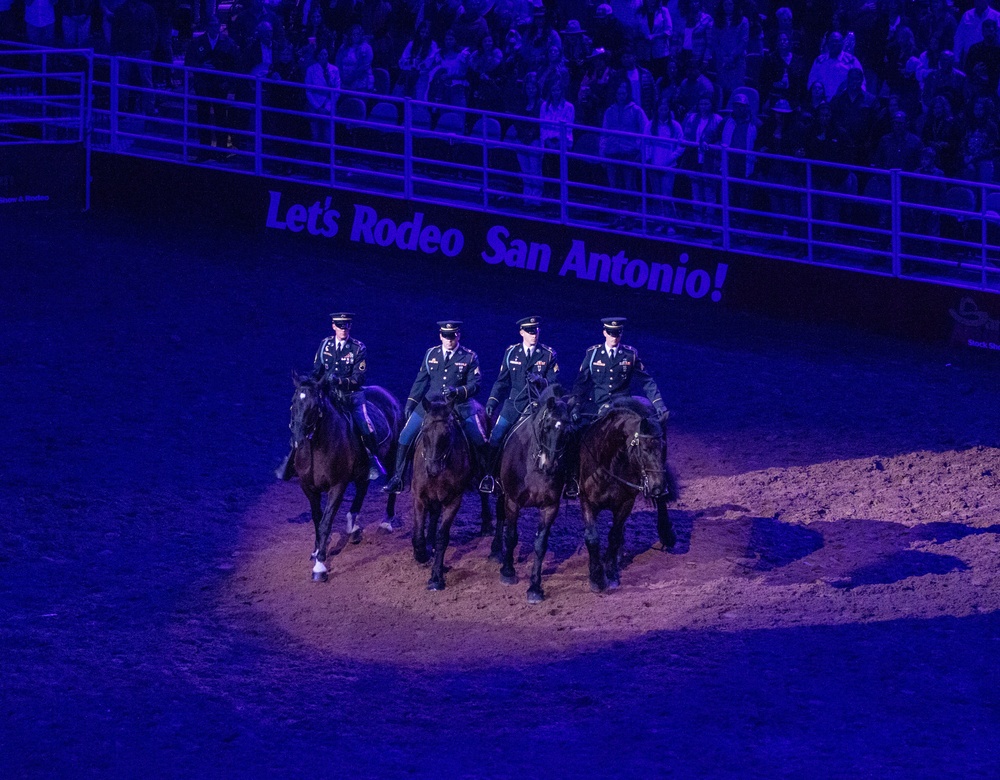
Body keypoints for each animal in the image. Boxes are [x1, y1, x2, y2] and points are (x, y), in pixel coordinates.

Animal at [286, 374, 402, 580]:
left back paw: (385, 522)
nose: (298, 440)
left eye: (314, 406)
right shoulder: (308, 488)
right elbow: (317, 519)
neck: (318, 448)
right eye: (293, 402)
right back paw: (352, 527)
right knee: (362, 488)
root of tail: (387, 394)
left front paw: (320, 566)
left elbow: (326, 522)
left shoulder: (337, 486)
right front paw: (317, 550)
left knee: (391, 484)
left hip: (391, 456)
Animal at [410, 396, 492, 592]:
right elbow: (418, 534)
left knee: (484, 496)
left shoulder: (453, 500)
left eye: (446, 434)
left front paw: (436, 577)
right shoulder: (419, 497)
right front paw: (421, 553)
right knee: (433, 514)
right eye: (424, 430)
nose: (432, 470)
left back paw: (486, 525)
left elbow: (443, 537)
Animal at [488, 384, 576, 604]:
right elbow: (511, 535)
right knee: (500, 516)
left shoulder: (550, 507)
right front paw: (508, 572)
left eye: (568, 431)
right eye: (546, 426)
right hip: (502, 492)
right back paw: (496, 551)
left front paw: (535, 587)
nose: (550, 465)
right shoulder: (512, 501)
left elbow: (540, 545)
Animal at [580, 396, 680, 592]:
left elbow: (614, 535)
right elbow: (592, 538)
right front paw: (596, 578)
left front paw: (610, 573)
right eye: (644, 449)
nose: (658, 486)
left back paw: (666, 534)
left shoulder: (626, 502)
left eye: (664, 447)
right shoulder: (587, 501)